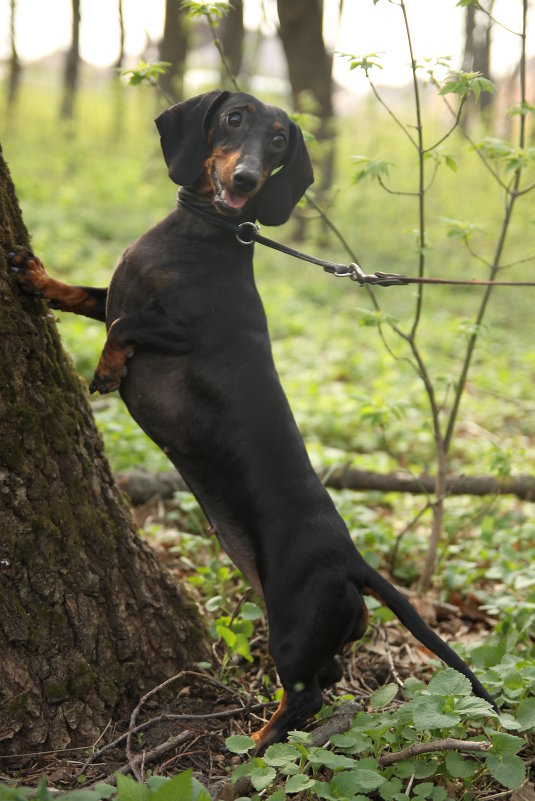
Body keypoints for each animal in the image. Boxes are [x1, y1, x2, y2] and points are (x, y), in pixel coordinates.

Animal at [8, 90, 496, 748]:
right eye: (234, 119)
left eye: (280, 141)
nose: (244, 178)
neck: (203, 232)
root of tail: (353, 561)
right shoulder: (113, 297)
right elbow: (87, 297)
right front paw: (35, 276)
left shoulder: (177, 329)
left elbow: (124, 326)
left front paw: (107, 370)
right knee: (329, 674)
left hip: (291, 625)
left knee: (308, 695)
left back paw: (258, 744)